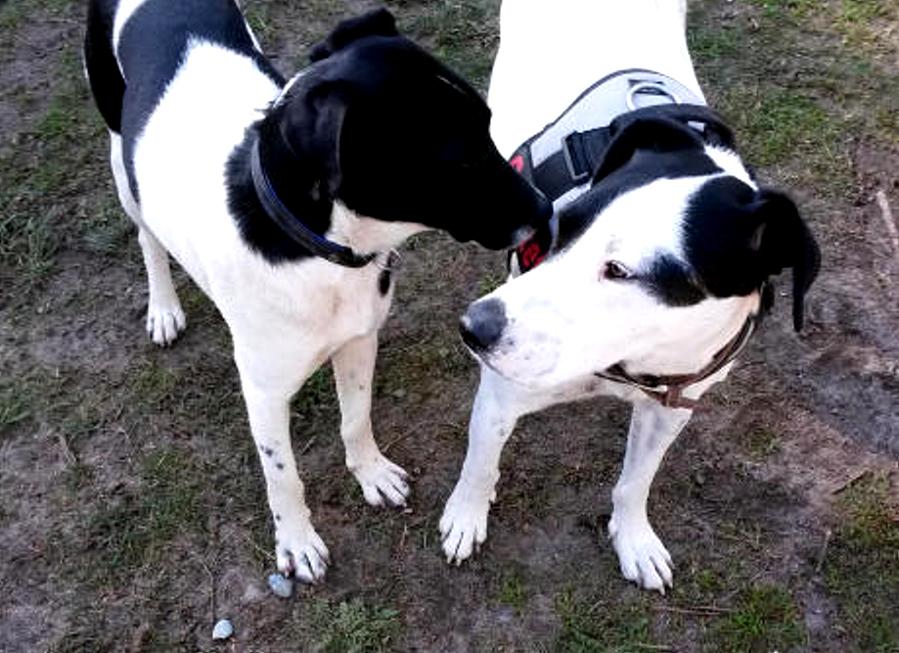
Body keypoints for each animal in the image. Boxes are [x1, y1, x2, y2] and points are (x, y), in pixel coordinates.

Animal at [84, 1, 551, 583]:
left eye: (489, 125)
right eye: (461, 159)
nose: (544, 211)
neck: (316, 247)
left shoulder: (358, 340)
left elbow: (356, 418)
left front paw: (371, 474)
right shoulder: (262, 392)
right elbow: (282, 476)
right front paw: (296, 541)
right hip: (121, 160)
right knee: (147, 236)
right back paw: (163, 307)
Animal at [439, 0, 821, 593]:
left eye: (620, 271)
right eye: (560, 229)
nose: (473, 327)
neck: (636, 363)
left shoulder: (672, 408)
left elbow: (635, 482)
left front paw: (635, 539)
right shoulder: (502, 396)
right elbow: (479, 464)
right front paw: (465, 516)